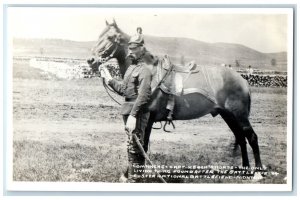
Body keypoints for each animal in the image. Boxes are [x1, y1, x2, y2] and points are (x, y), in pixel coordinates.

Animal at [89, 19, 262, 169]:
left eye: (110, 37)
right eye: (98, 35)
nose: (91, 61)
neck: (149, 71)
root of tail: (242, 80)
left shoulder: (148, 118)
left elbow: (143, 147)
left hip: (239, 115)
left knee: (251, 137)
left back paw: (258, 171)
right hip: (228, 115)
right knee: (241, 138)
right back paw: (245, 169)